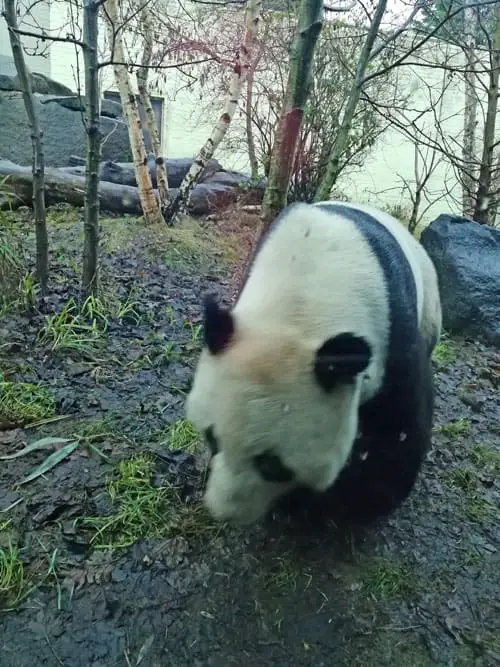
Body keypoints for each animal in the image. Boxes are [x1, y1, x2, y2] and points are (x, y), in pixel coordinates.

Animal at [185, 201, 442, 524]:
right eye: (212, 438)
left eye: (272, 465)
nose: (224, 511)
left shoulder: (393, 336)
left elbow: (396, 436)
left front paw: (315, 506)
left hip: (430, 303)